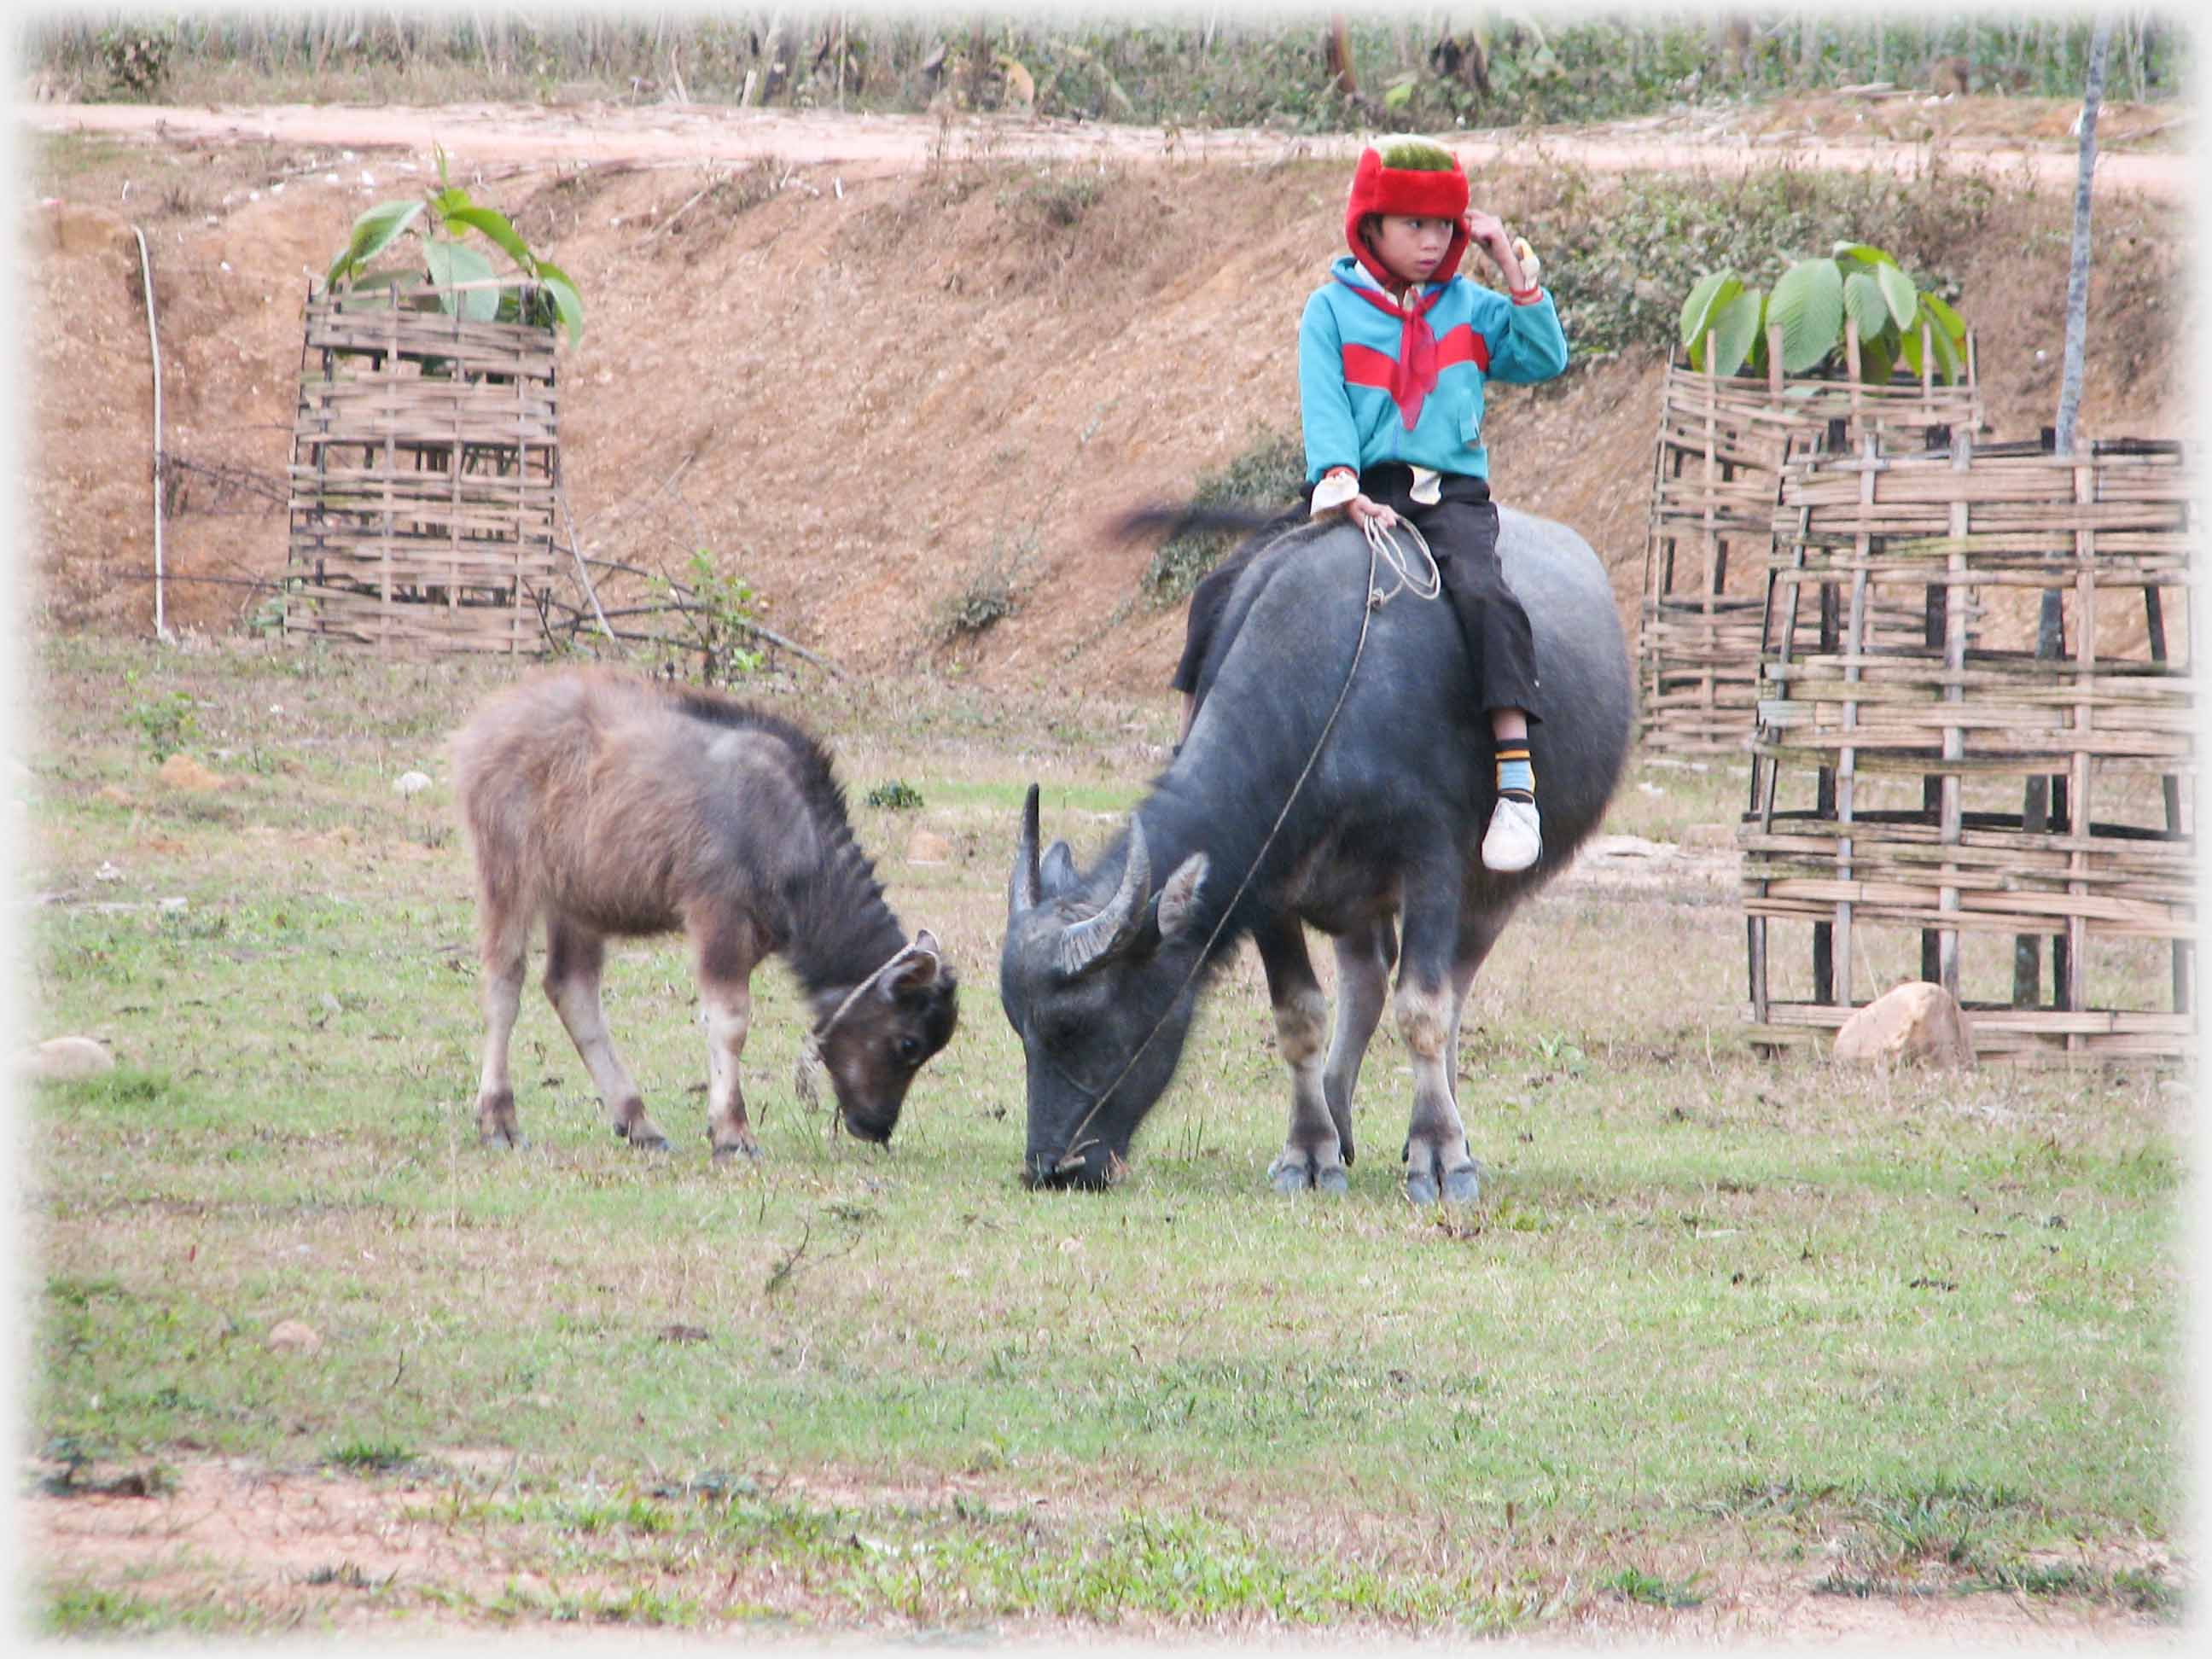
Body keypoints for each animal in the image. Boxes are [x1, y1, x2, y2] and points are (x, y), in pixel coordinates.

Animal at [452, 670, 958, 1158]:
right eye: (908, 1043)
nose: (876, 1126)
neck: (791, 833)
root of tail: (486, 727)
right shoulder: (719, 918)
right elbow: (730, 1023)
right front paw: (733, 1133)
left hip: (578, 902)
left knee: (572, 989)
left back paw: (639, 1123)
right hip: (507, 874)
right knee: (504, 983)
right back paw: (499, 1122)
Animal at [1001, 507, 1631, 1201]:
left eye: (1078, 1026)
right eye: (1020, 1028)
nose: (1051, 1168)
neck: (1336, 696)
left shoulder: (1432, 859)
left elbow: (1424, 1009)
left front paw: (1441, 1156)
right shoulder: (1269, 882)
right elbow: (1298, 1016)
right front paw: (1308, 1152)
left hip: (1493, 888)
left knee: (1454, 987)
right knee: (1366, 980)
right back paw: (1337, 1112)